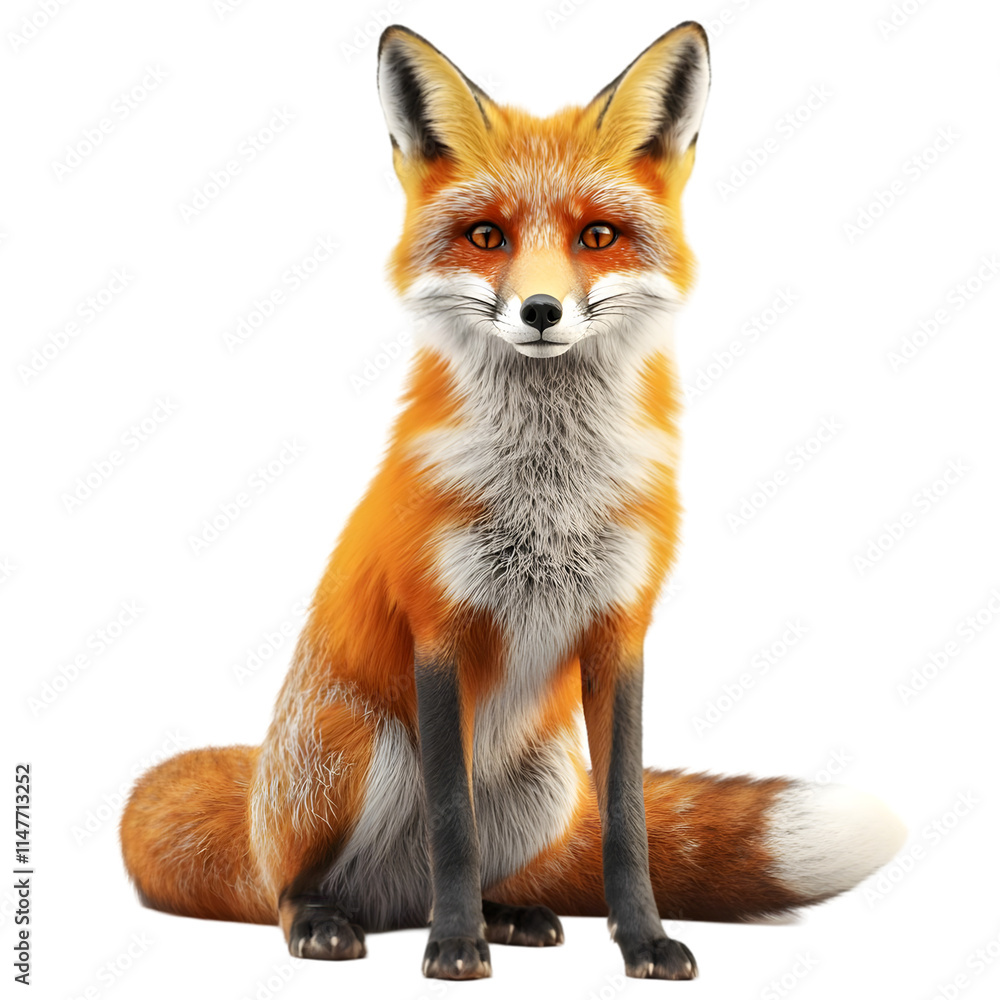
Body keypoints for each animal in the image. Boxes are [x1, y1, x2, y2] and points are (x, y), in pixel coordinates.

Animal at [120, 21, 906, 981]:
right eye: (486, 235)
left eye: (598, 235)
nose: (539, 310)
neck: (547, 496)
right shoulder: (439, 632)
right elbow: (452, 827)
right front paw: (455, 949)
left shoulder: (621, 632)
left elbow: (627, 825)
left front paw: (640, 940)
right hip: (358, 750)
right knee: (291, 887)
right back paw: (335, 921)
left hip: (545, 780)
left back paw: (508, 913)